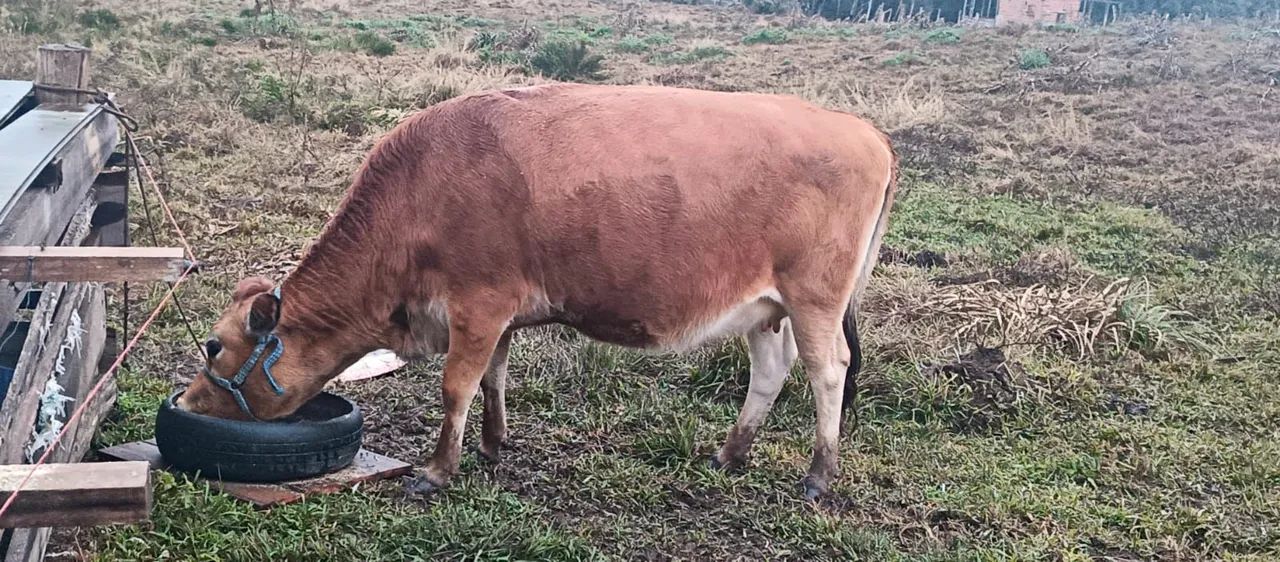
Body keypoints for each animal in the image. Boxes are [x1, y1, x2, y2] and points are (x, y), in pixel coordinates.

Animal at [178, 83, 898, 499]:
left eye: (214, 347)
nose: (184, 404)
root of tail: (863, 131)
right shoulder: (496, 314)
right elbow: (493, 379)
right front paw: (492, 446)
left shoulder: (478, 304)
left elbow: (456, 387)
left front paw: (438, 471)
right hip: (765, 308)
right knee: (771, 371)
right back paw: (732, 453)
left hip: (814, 298)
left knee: (827, 372)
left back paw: (818, 474)